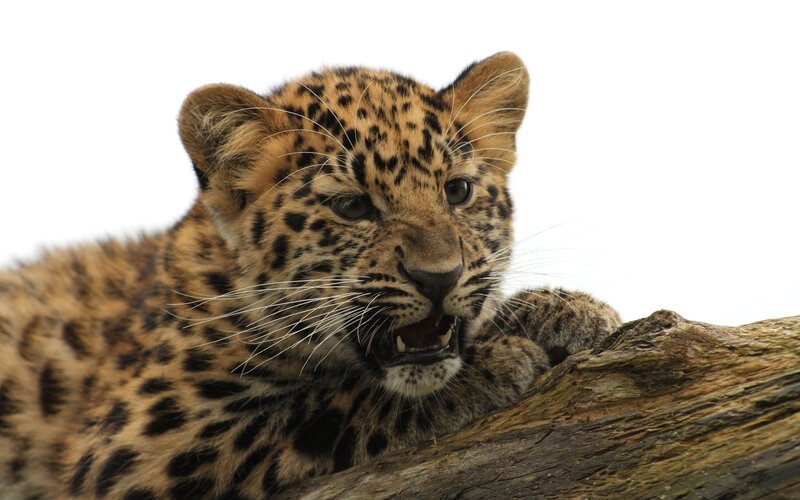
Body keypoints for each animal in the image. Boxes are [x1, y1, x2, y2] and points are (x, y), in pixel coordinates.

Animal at [0, 52, 621, 499]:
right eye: (352, 207)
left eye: (458, 192)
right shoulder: (136, 445)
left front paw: (562, 310)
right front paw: (493, 364)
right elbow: (324, 408)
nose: (439, 278)